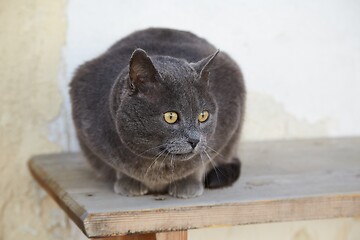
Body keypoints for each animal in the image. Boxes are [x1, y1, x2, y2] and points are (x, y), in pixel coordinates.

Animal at [69, 27, 246, 198]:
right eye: (170, 116)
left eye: (203, 116)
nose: (194, 140)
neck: (158, 165)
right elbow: (119, 166)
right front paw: (129, 184)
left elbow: (200, 163)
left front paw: (187, 186)